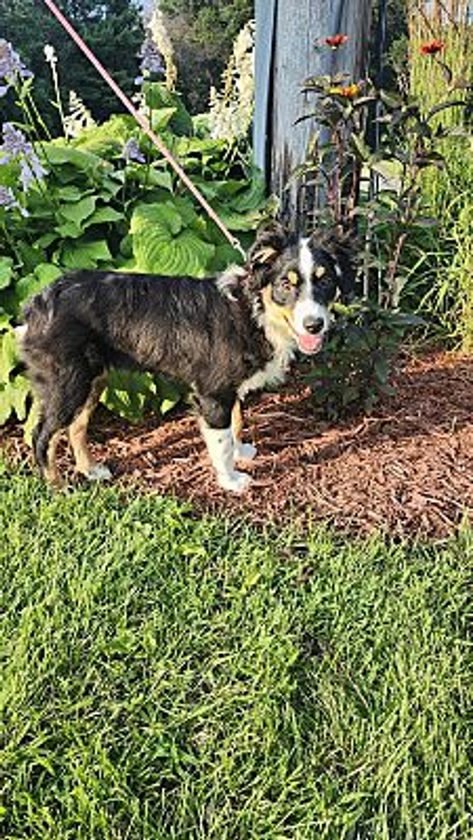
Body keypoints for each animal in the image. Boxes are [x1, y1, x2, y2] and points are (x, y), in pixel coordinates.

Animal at [17, 226, 350, 496]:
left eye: (325, 281)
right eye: (286, 284)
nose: (315, 325)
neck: (253, 312)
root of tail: (36, 305)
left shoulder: (229, 388)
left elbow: (236, 421)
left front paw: (240, 452)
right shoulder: (212, 392)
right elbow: (222, 441)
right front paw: (231, 480)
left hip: (91, 380)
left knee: (76, 427)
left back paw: (91, 471)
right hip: (66, 384)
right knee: (41, 436)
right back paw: (58, 489)